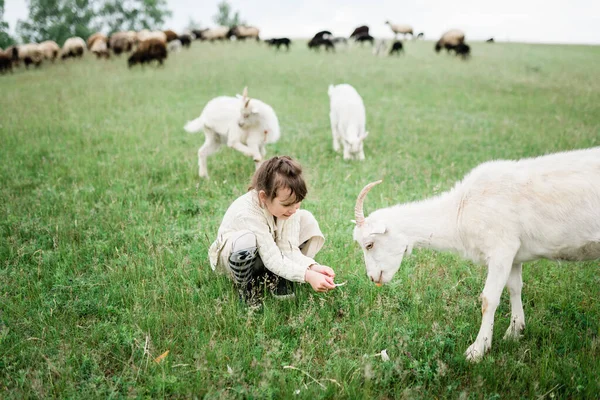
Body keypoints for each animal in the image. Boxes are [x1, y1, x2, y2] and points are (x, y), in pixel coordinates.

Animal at [352, 148, 600, 362]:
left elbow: (488, 299)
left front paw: (477, 350)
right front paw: (514, 331)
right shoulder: (513, 254)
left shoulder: (501, 249)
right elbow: (514, 288)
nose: (373, 278)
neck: (459, 210)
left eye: (369, 244)